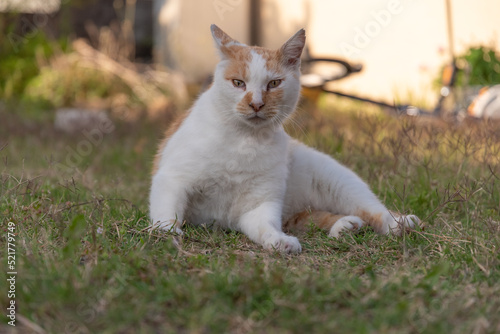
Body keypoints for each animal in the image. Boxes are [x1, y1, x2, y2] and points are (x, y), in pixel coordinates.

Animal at [147, 24, 418, 253]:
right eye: (238, 83)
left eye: (274, 83)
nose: (256, 104)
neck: (244, 139)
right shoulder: (172, 180)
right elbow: (167, 211)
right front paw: (166, 232)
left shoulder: (260, 205)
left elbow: (266, 227)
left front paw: (278, 241)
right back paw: (347, 227)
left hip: (338, 181)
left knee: (374, 211)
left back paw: (399, 223)